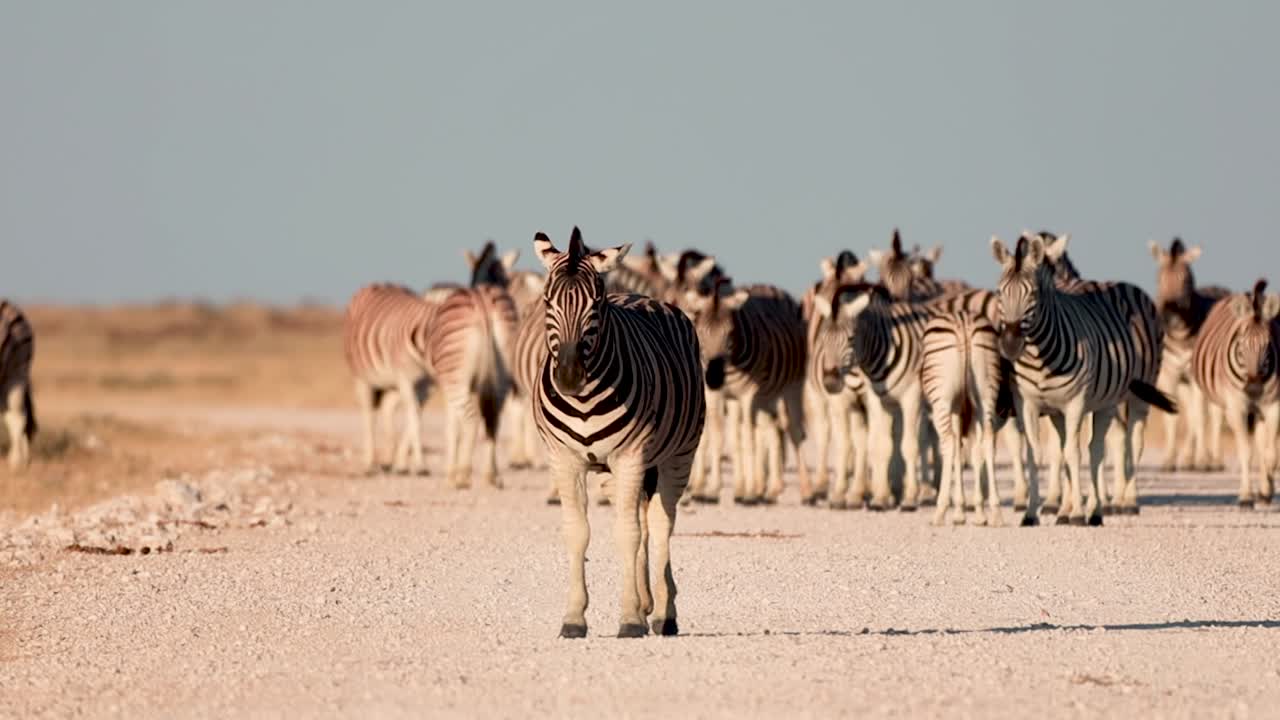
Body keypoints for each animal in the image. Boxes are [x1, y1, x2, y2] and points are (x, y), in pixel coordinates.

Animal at [533, 227, 706, 639]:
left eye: (596, 304)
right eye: (547, 301)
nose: (569, 377)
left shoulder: (631, 457)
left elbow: (627, 534)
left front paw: (629, 618)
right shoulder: (565, 460)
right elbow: (577, 532)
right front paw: (574, 618)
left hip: (679, 454)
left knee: (659, 523)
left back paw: (663, 613)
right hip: (616, 472)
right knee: (643, 522)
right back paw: (647, 604)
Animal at [683, 281, 812, 504]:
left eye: (730, 333)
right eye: (701, 333)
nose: (714, 378)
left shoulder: (747, 395)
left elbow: (747, 437)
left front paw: (749, 493)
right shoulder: (716, 395)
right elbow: (719, 436)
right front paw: (712, 490)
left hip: (792, 386)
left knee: (794, 431)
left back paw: (806, 492)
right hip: (766, 396)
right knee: (771, 429)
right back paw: (769, 489)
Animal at [991, 233, 1174, 526]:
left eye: (1032, 293)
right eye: (1000, 292)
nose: (1009, 345)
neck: (1040, 355)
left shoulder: (1075, 403)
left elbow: (1073, 454)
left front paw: (1077, 513)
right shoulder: (1029, 404)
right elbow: (1036, 454)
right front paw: (1032, 513)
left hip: (1130, 395)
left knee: (1114, 446)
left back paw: (1114, 505)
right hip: (1087, 406)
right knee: (1090, 447)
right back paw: (1078, 509)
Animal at [1148, 238, 1230, 472]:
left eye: (1186, 281)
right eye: (1159, 279)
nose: (1170, 316)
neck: (1178, 335)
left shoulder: (1195, 377)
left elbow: (1201, 418)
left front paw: (1203, 461)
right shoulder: (1168, 374)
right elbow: (1173, 417)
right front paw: (1169, 460)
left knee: (1213, 416)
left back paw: (1214, 460)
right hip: (1185, 382)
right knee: (1192, 414)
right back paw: (1188, 458)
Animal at [1191, 279, 1280, 507]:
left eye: (1268, 345)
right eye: (1241, 345)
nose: (1254, 387)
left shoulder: (1274, 405)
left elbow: (1270, 454)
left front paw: (1266, 491)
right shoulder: (1237, 408)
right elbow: (1246, 453)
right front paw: (1246, 496)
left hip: (1258, 411)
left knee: (1262, 444)